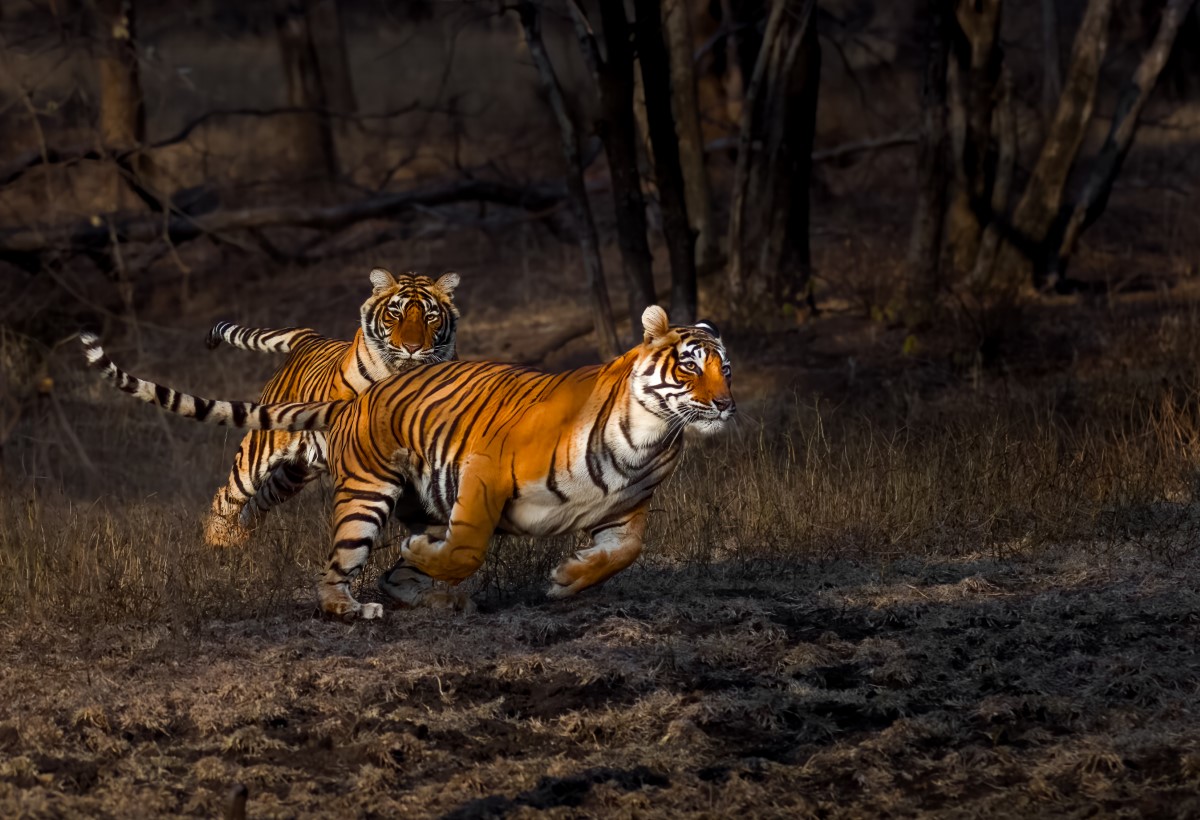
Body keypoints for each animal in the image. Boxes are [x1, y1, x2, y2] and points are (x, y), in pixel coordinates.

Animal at [79, 304, 729, 619]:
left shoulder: (629, 509)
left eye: (725, 366)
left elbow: (625, 552)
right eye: (690, 366)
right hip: (359, 493)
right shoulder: (485, 471)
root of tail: (354, 398)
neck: (647, 439)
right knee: (328, 568)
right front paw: (434, 559)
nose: (725, 403)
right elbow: (466, 548)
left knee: (391, 570)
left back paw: (433, 593)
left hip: (380, 488)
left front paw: (568, 579)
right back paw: (354, 604)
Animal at [196, 268, 458, 552]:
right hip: (262, 448)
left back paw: (243, 539)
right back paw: (218, 545)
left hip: (294, 473)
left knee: (260, 500)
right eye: (395, 314)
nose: (412, 348)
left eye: (430, 317)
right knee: (228, 495)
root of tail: (309, 336)